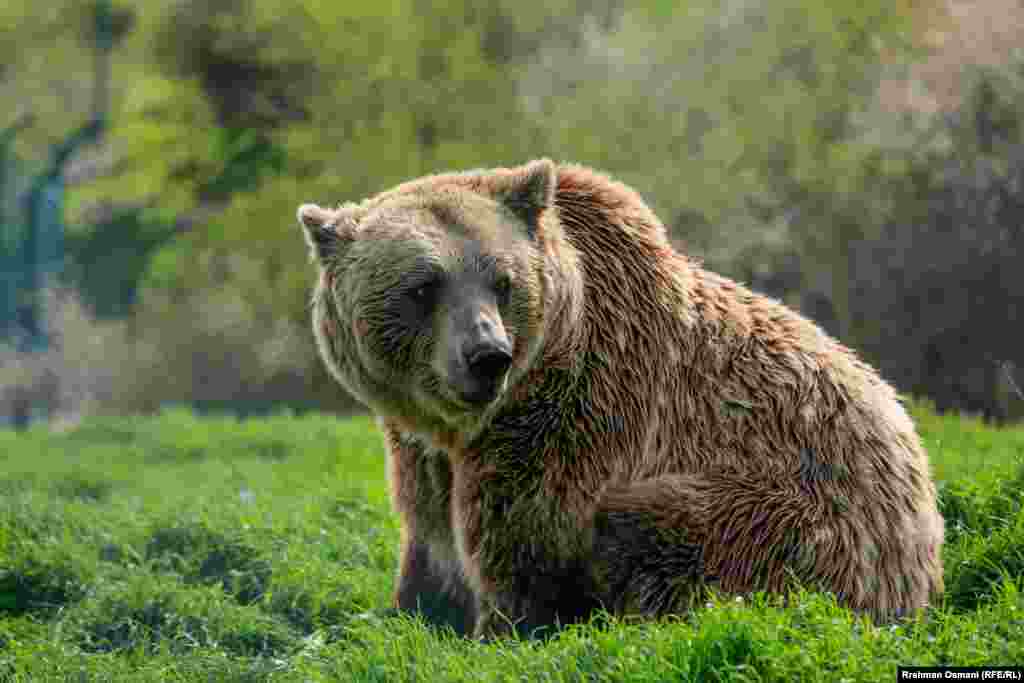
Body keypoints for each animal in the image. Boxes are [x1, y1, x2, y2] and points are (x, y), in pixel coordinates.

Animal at [296, 160, 942, 643]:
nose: (487, 355)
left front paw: (500, 630)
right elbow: (429, 542)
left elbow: (524, 548)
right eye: (423, 286)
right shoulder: (421, 452)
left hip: (809, 520)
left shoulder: (570, 415)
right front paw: (401, 615)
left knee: (654, 527)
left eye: (502, 280)